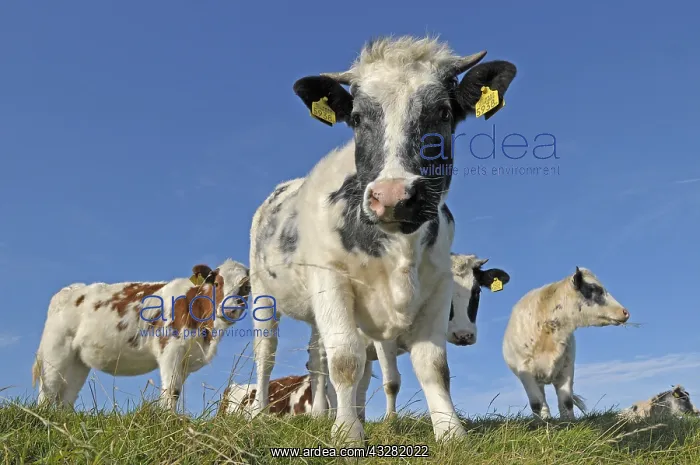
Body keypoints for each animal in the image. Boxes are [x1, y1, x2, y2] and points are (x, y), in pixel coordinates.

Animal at [32, 259, 250, 410]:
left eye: (246, 287)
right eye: (217, 284)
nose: (230, 309)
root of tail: (70, 290)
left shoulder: (188, 359)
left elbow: (177, 390)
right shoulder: (170, 349)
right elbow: (171, 391)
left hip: (78, 360)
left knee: (67, 396)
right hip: (55, 351)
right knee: (48, 391)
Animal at [248, 35, 518, 444]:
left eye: (443, 112)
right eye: (358, 118)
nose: (393, 196)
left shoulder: (436, 286)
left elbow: (433, 365)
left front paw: (450, 431)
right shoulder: (331, 279)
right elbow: (347, 360)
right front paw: (347, 432)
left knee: (315, 357)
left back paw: (321, 413)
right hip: (264, 291)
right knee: (268, 352)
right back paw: (261, 412)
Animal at [502, 267, 630, 420]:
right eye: (593, 289)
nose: (625, 312)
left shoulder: (567, 366)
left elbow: (566, 400)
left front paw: (569, 422)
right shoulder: (525, 370)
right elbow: (536, 403)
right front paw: (541, 424)